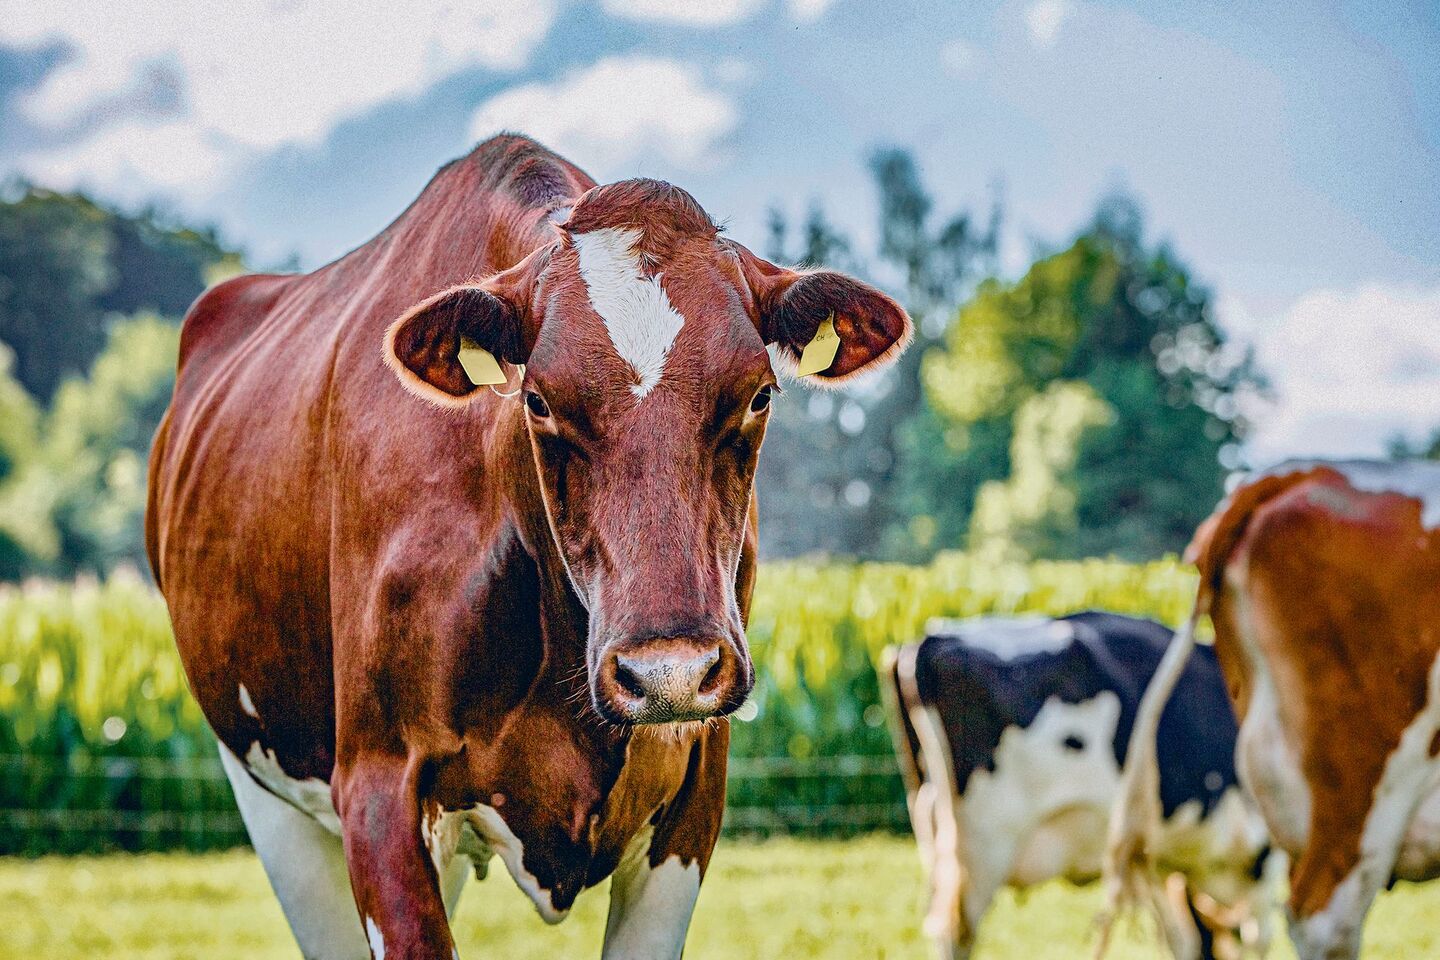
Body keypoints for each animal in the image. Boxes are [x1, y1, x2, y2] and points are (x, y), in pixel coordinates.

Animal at [144, 134, 912, 960]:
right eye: (538, 400)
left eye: (759, 393)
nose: (667, 671)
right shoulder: (378, 787)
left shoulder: (694, 788)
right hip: (268, 792)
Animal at [881, 611, 1273, 960]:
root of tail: (929, 641)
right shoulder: (1265, 850)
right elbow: (1257, 939)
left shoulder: (1152, 857)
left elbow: (1184, 939)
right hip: (985, 842)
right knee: (954, 931)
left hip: (936, 831)